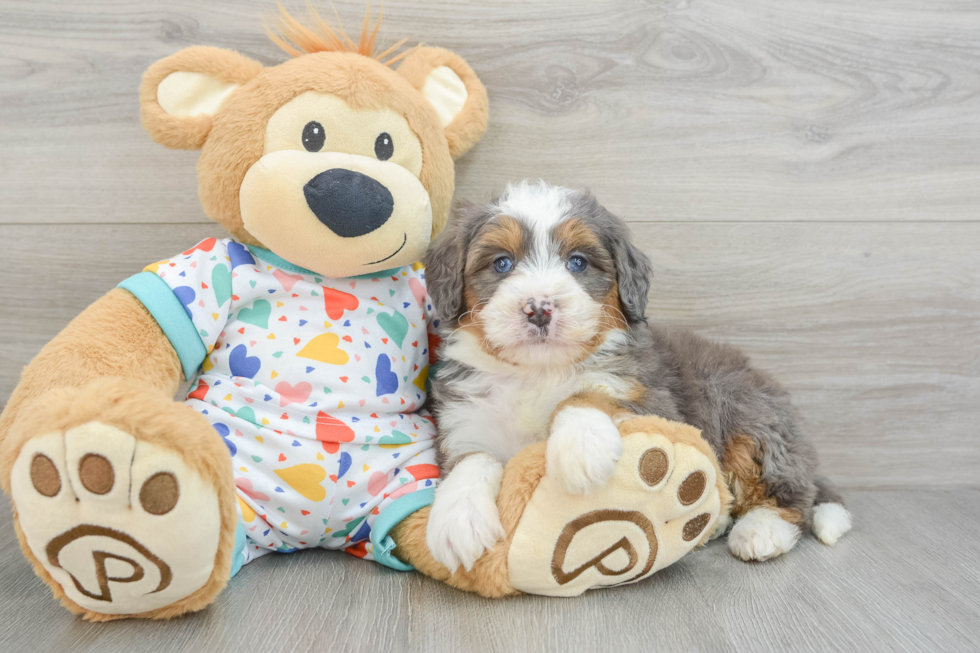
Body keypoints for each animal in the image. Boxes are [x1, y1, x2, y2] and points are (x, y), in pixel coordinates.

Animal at [422, 182, 848, 572]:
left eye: (577, 262)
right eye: (501, 264)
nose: (539, 308)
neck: (538, 373)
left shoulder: (654, 399)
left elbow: (589, 392)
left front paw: (581, 447)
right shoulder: (465, 417)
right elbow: (472, 459)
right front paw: (458, 519)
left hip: (749, 416)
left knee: (791, 493)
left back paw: (761, 530)